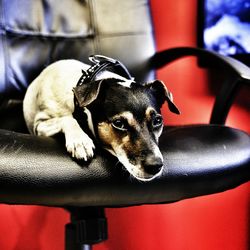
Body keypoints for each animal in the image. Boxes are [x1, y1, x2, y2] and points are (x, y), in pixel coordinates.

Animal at [23, 55, 180, 181]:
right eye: (119, 123)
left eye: (157, 121)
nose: (155, 166)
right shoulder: (39, 125)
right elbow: (68, 119)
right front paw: (80, 141)